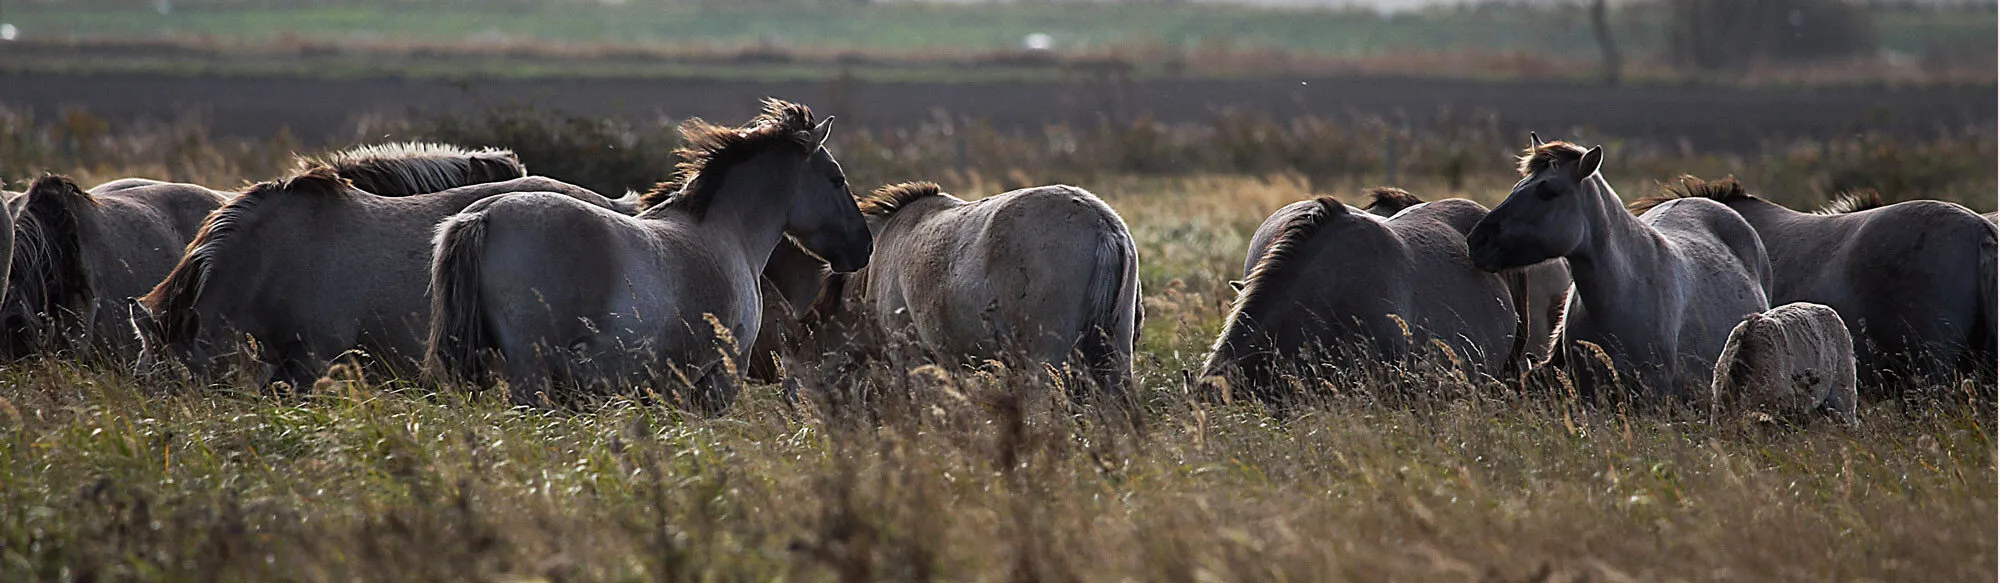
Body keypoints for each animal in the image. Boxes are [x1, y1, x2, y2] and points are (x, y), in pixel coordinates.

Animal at [425, 99, 872, 411]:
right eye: (838, 179)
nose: (863, 247)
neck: (727, 232)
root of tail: (485, 215)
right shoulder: (719, 380)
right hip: (529, 373)